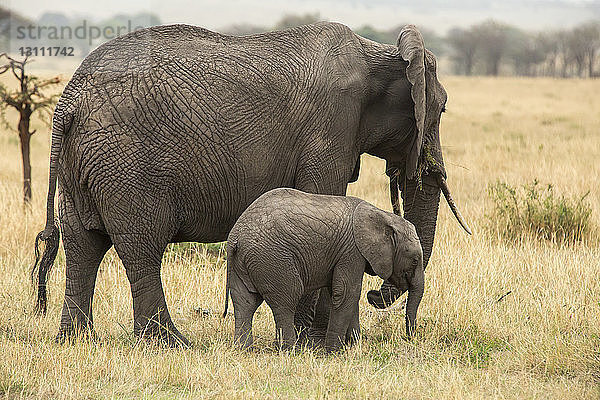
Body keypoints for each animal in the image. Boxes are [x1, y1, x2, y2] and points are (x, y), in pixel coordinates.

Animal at [223, 188, 424, 350]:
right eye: (414, 261)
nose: (409, 337)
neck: (383, 215)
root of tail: (236, 238)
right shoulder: (351, 251)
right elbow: (346, 293)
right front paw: (335, 351)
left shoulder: (345, 253)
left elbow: (348, 295)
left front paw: (355, 346)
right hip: (273, 258)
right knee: (287, 300)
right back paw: (290, 350)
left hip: (245, 262)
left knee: (245, 302)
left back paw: (244, 349)